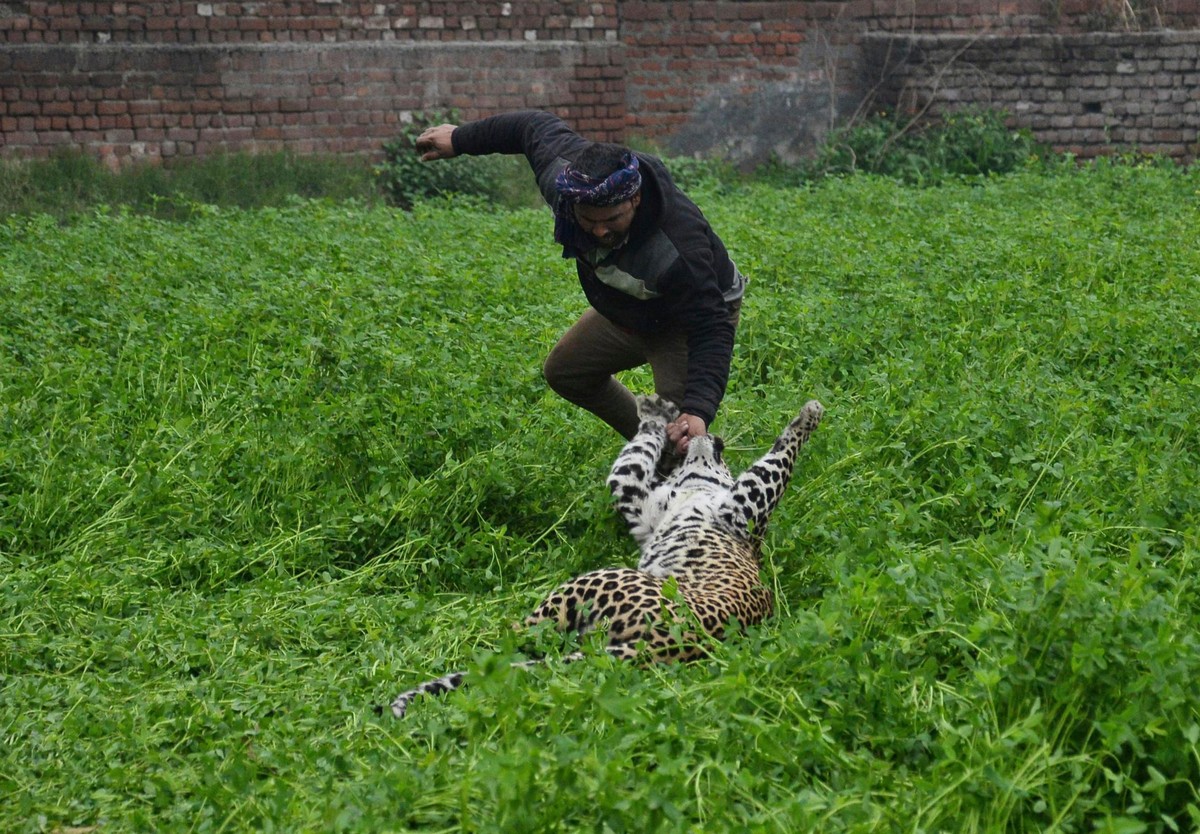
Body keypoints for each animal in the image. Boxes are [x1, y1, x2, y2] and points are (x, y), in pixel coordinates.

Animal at [384, 396, 825, 720]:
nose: (714, 439)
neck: (692, 486)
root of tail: (658, 647)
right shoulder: (640, 504)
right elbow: (635, 457)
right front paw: (657, 415)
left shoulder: (744, 509)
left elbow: (777, 463)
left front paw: (810, 413)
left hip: (595, 581)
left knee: (518, 638)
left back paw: (483, 629)